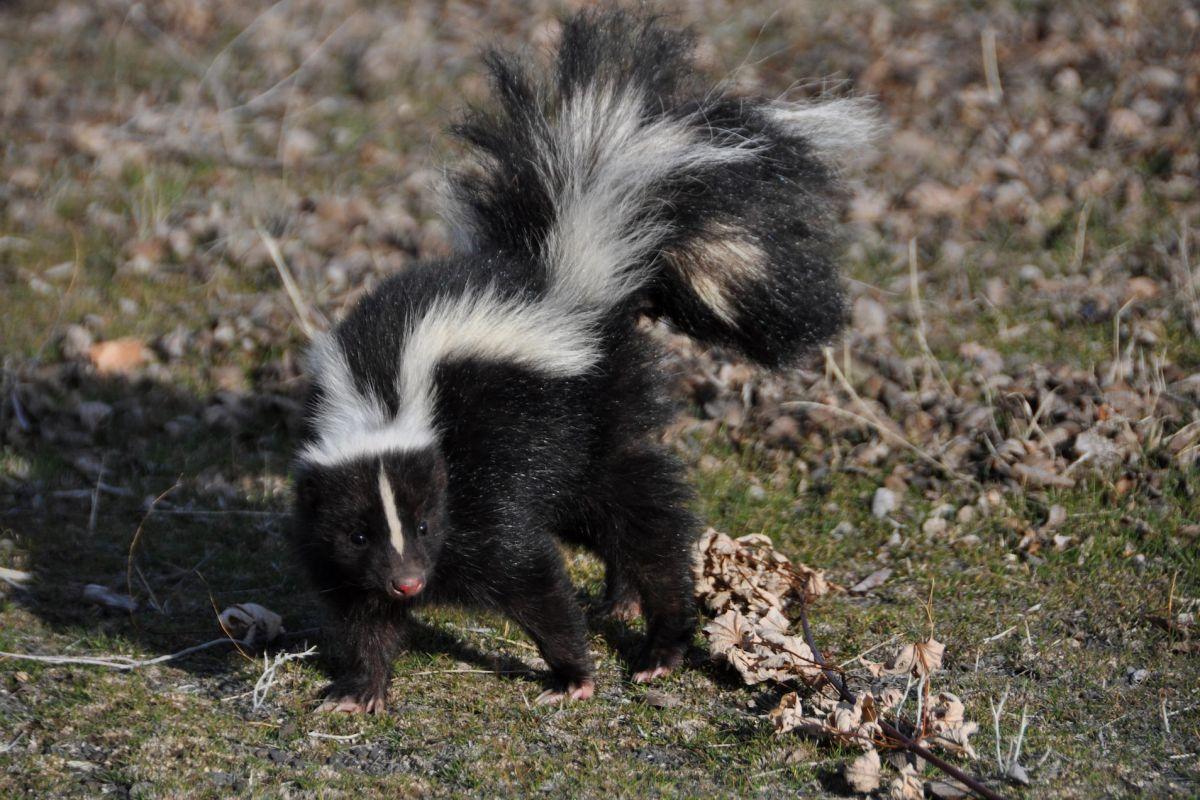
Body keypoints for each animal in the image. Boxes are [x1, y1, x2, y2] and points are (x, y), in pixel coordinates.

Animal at [286, 7, 878, 714]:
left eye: (427, 525)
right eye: (358, 534)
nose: (408, 582)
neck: (385, 397)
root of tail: (574, 279)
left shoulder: (482, 481)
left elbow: (528, 573)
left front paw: (573, 674)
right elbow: (359, 609)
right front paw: (360, 689)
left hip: (590, 418)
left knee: (643, 518)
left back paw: (661, 641)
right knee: (607, 518)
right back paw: (620, 601)